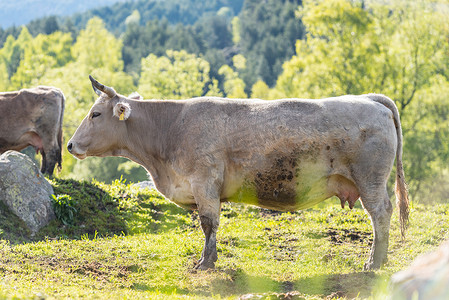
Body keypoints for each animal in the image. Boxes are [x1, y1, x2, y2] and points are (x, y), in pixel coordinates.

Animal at [67, 76, 410, 270]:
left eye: (95, 114)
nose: (70, 144)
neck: (169, 129)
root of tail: (369, 98)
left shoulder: (204, 183)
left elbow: (208, 224)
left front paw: (205, 263)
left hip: (370, 179)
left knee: (380, 214)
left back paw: (374, 261)